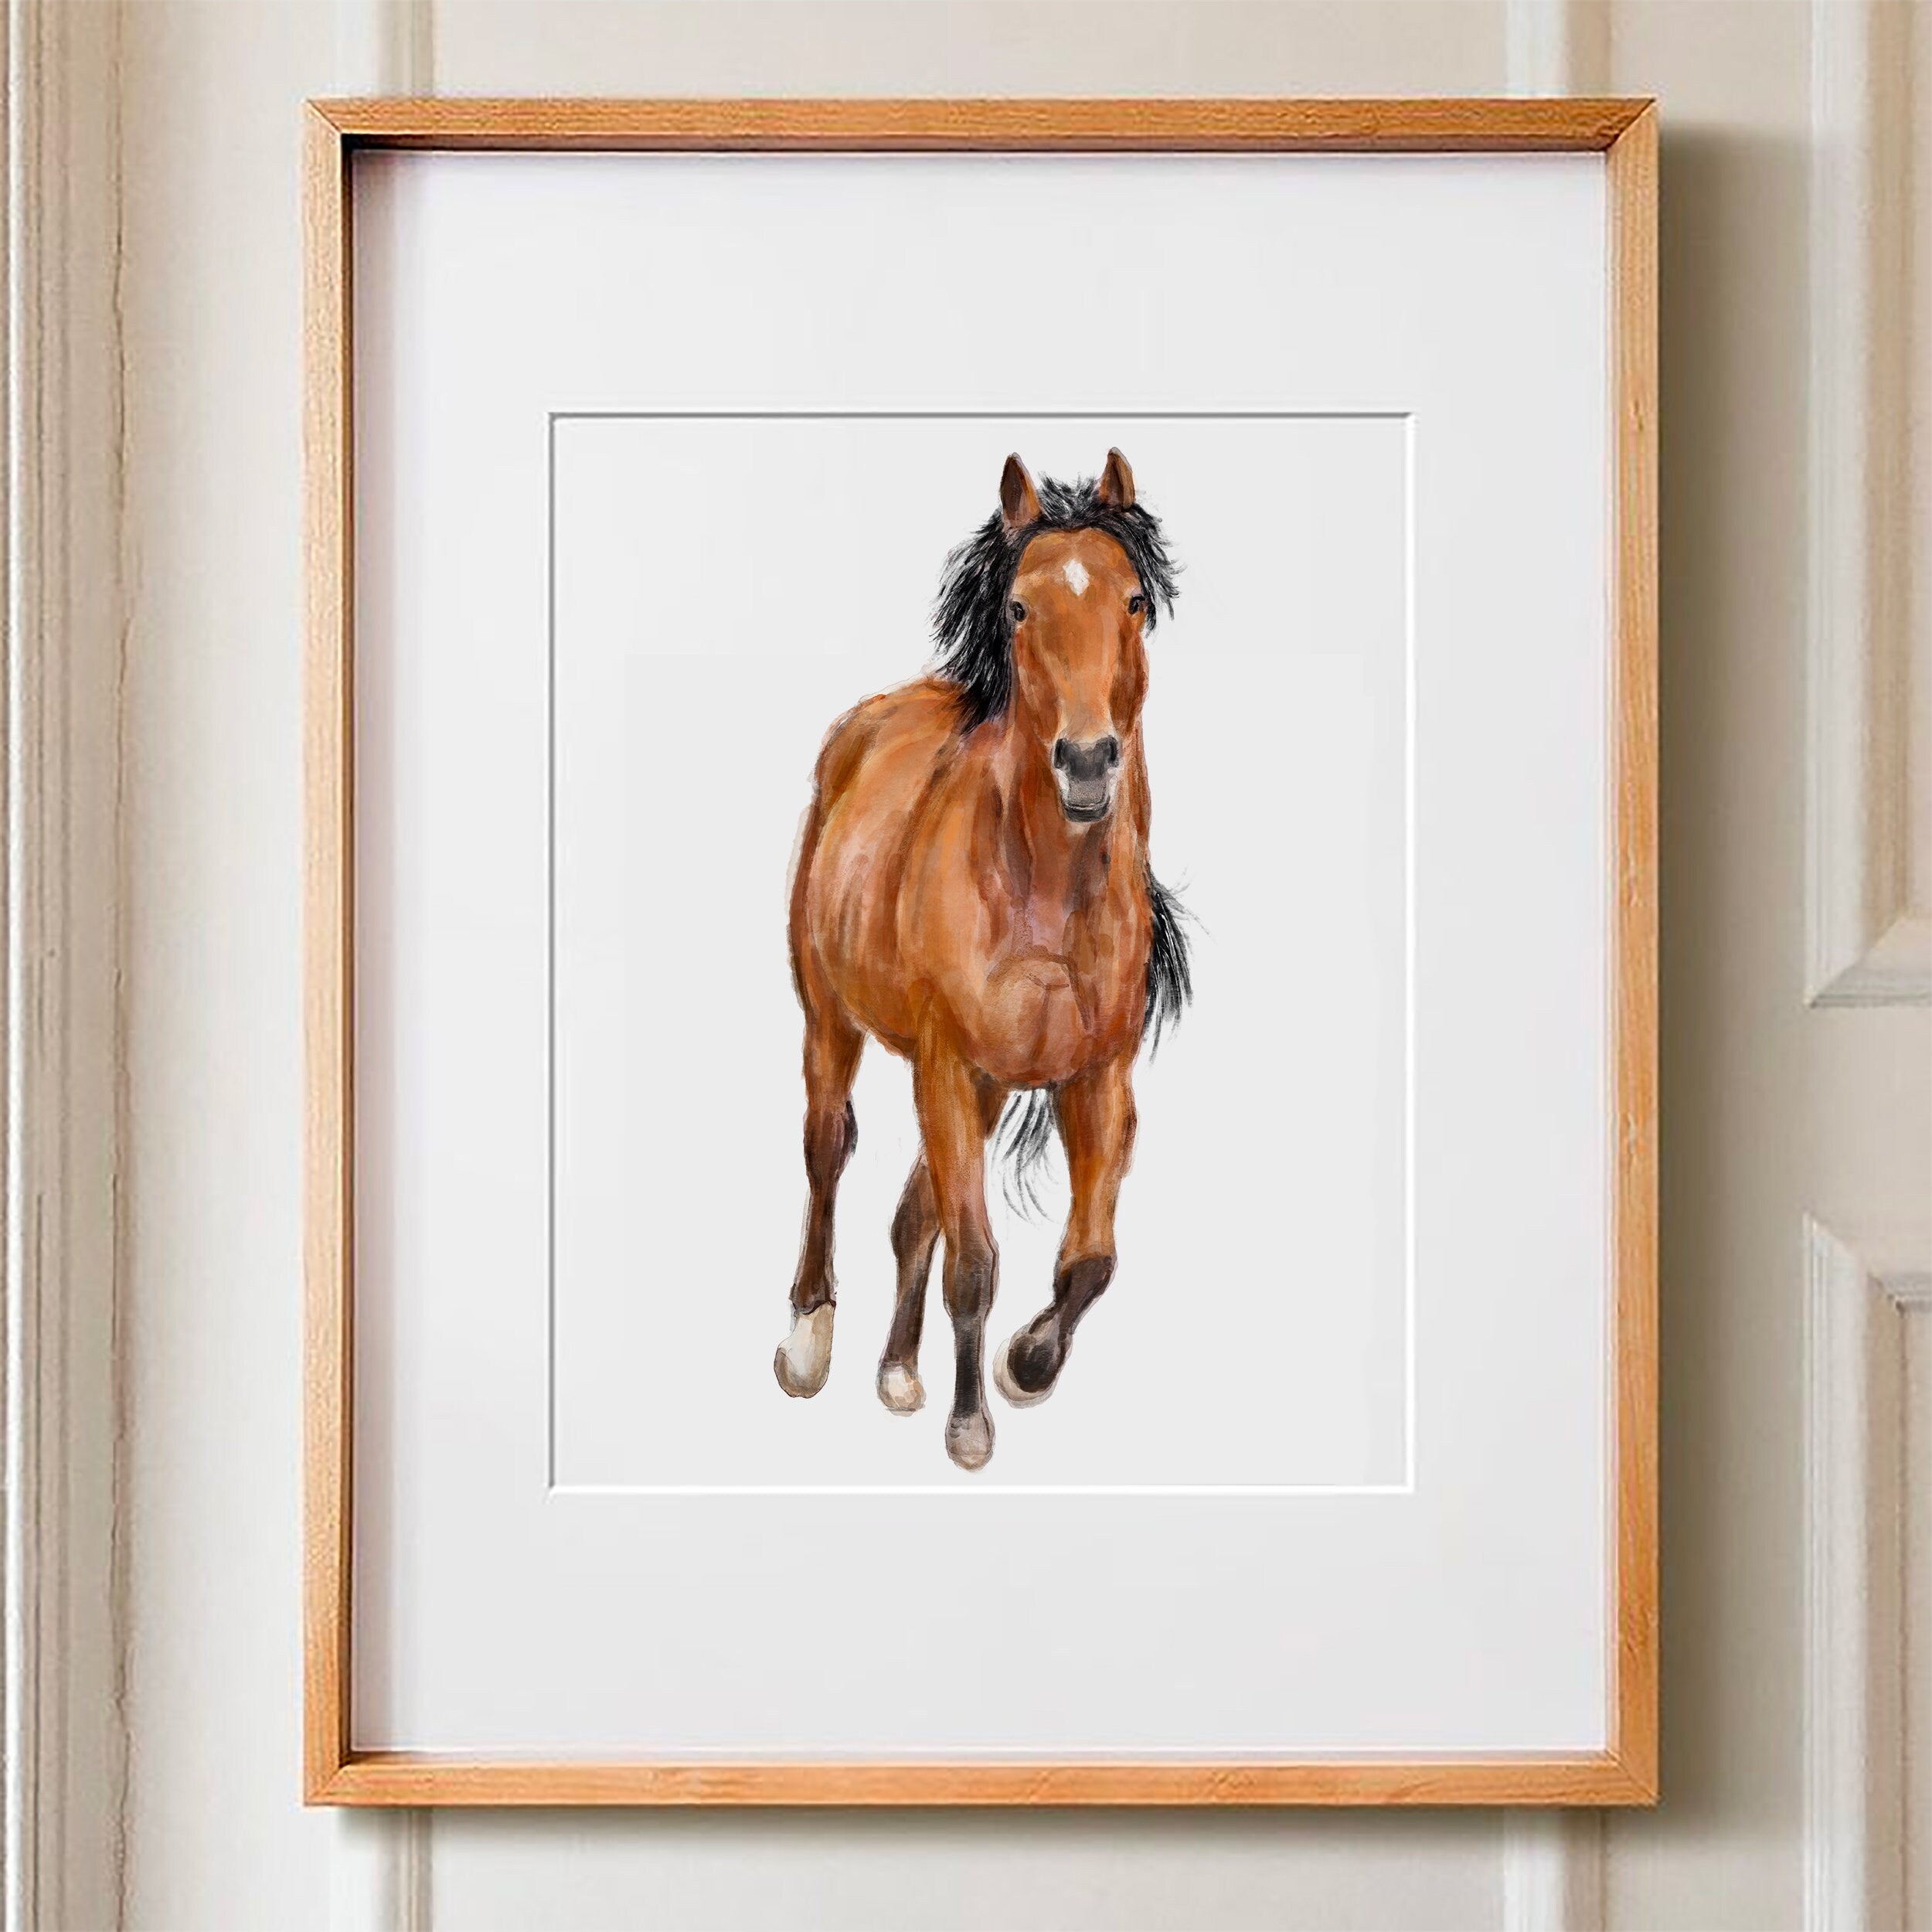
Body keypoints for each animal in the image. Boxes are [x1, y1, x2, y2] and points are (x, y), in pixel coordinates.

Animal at [775, 448, 1191, 1471]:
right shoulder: (945, 1060)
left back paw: (896, 1369)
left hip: (989, 1081)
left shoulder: (1095, 1075)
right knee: (826, 1147)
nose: (1087, 762)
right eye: (1019, 608)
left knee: (912, 1209)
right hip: (833, 1018)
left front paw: (1023, 1365)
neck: (1046, 891)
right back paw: (807, 1339)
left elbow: (1089, 1260)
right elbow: (973, 1261)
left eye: (1134, 601)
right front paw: (972, 1424)